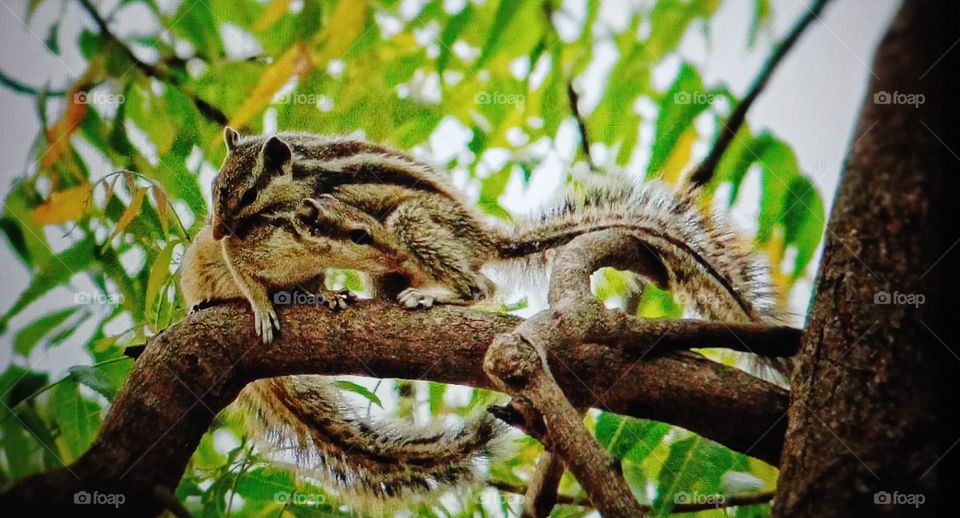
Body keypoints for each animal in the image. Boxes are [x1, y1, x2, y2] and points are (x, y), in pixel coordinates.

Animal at [179, 206, 507, 512]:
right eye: (359, 235)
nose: (400, 256)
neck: (303, 255)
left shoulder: (310, 272)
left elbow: (314, 284)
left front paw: (329, 295)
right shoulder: (241, 247)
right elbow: (245, 276)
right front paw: (262, 307)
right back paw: (203, 304)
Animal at [210, 129, 777, 345]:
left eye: (246, 193)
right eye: (215, 188)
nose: (216, 230)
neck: (301, 169)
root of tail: (484, 240)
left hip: (414, 222)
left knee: (480, 288)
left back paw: (432, 295)